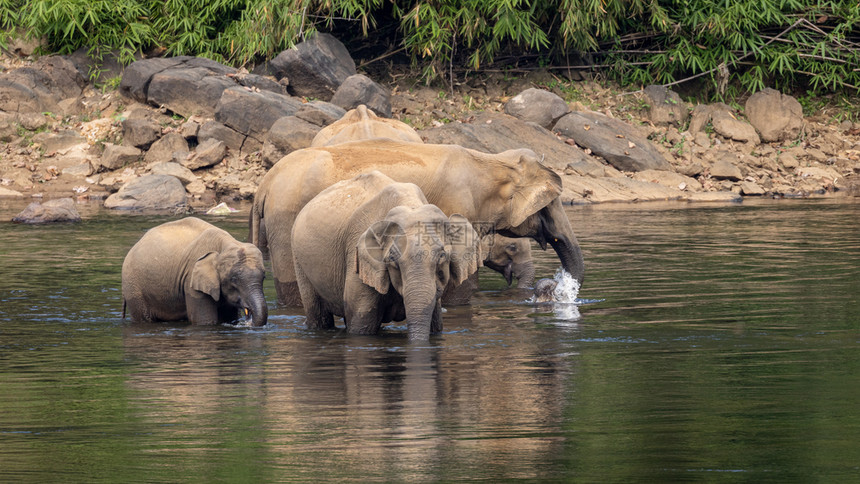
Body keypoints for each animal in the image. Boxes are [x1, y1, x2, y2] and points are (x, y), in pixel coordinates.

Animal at [122, 216, 268, 326]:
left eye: (264, 278)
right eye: (234, 279)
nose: (248, 321)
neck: (226, 244)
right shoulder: (191, 280)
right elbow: (205, 321)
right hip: (133, 288)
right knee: (143, 318)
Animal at [249, 136, 584, 306]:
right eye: (550, 203)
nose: (552, 285)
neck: (490, 160)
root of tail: (264, 184)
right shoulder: (456, 204)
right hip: (286, 221)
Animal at [288, 172, 478, 342]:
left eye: (442, 256)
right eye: (392, 259)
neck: (411, 205)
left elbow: (435, 322)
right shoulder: (356, 257)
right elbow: (361, 325)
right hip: (298, 260)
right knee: (317, 315)